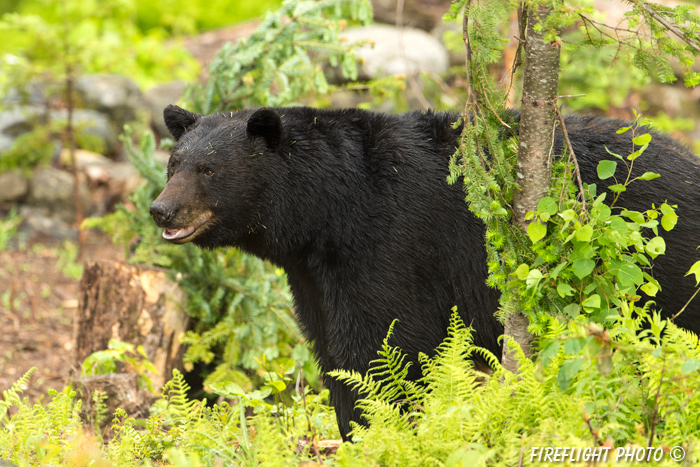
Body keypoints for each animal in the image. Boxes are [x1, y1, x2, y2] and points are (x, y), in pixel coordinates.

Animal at [152, 105, 700, 438]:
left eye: (208, 170)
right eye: (173, 163)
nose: (161, 210)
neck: (328, 211)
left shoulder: (390, 244)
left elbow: (380, 345)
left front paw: (377, 429)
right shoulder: (314, 275)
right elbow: (332, 349)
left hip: (661, 263)